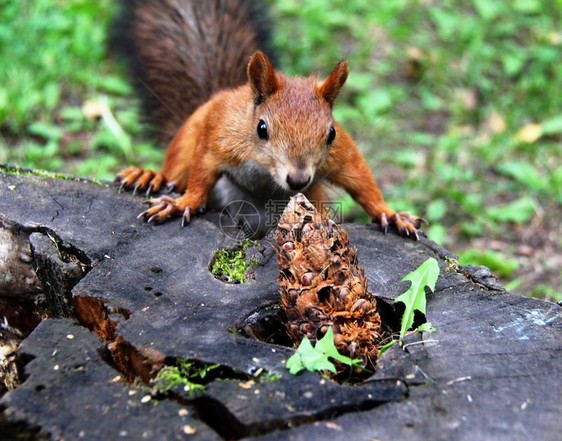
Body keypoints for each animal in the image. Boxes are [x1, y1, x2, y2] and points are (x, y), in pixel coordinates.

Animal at [111, 0, 422, 237]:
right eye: (262, 129)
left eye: (331, 134)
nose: (298, 179)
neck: (266, 171)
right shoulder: (221, 140)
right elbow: (200, 174)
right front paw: (180, 204)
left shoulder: (340, 153)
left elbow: (360, 178)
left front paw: (390, 213)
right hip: (189, 134)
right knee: (176, 170)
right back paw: (149, 176)